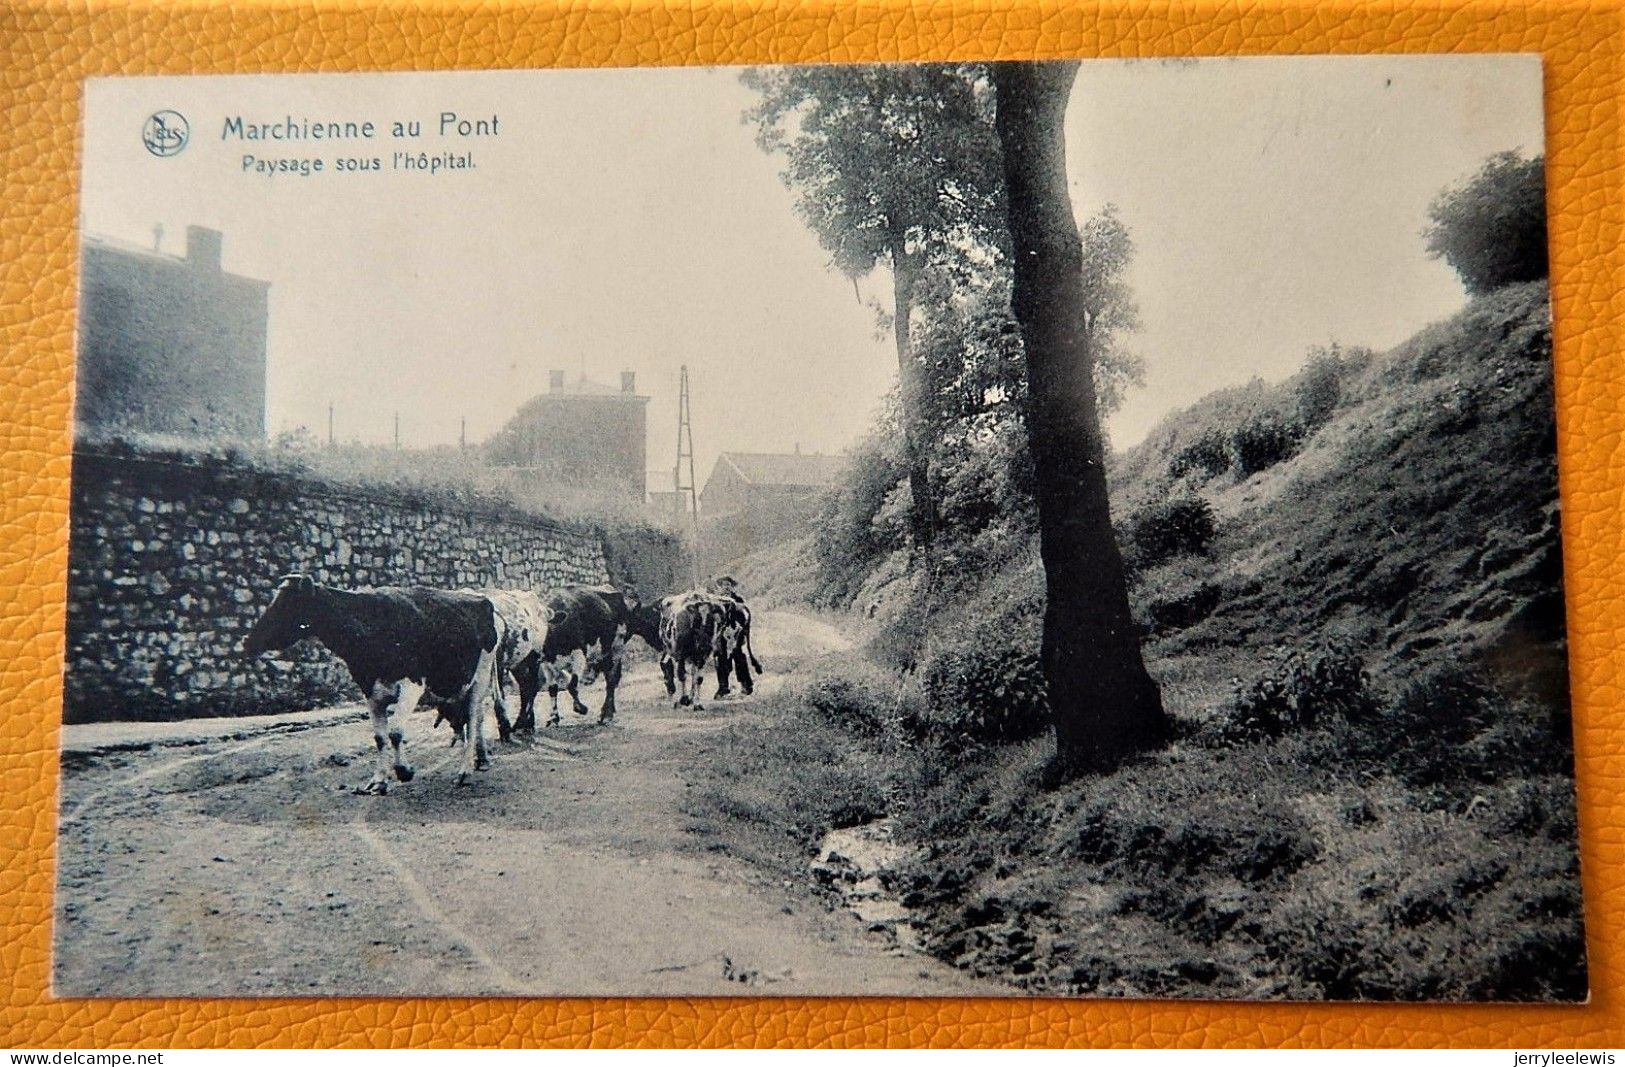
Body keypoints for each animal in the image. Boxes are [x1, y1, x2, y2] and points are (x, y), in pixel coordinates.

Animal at [242, 574, 500, 789]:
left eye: (287, 605)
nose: (247, 640)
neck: (371, 626)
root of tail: (483, 600)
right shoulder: (371, 692)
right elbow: (379, 738)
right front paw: (378, 780)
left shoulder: (412, 685)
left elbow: (395, 732)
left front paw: (403, 770)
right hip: (454, 686)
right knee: (463, 721)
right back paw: (476, 762)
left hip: (481, 677)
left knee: (473, 719)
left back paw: (465, 771)